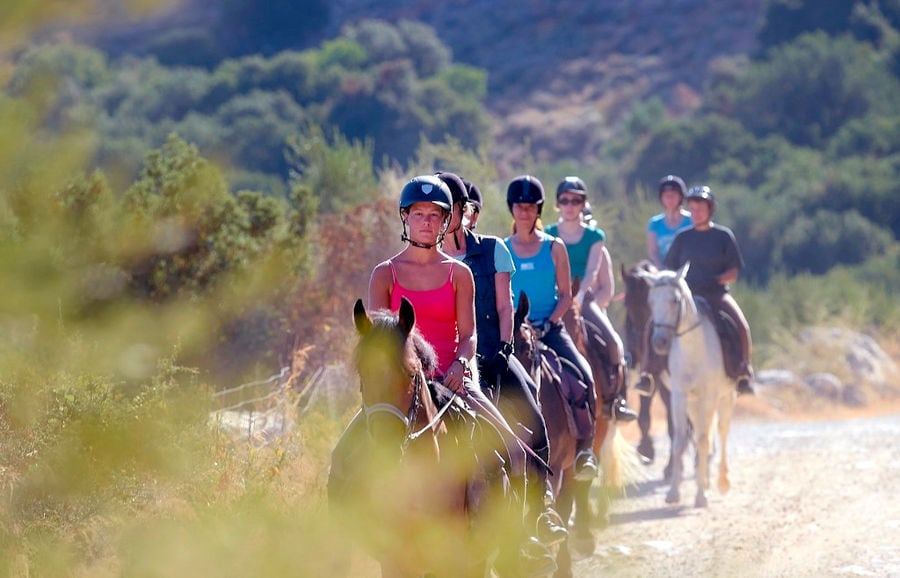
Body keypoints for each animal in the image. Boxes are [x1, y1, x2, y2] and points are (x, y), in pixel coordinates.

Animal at [636, 264, 736, 506]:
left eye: (674, 300)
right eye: (651, 301)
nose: (660, 342)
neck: (693, 349)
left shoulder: (710, 397)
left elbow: (703, 439)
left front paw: (701, 496)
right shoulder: (679, 397)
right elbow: (680, 440)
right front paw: (673, 492)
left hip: (725, 397)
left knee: (721, 432)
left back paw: (721, 481)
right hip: (693, 403)